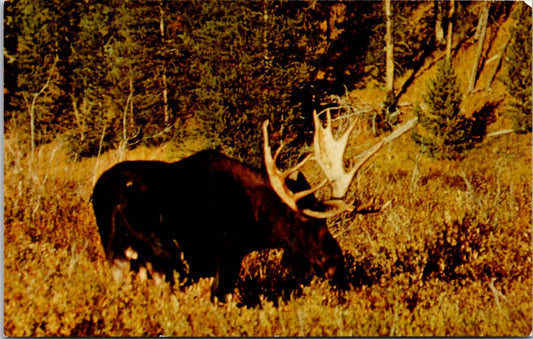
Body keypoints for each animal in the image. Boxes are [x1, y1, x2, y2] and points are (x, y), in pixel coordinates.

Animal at [92, 109, 416, 302]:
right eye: (307, 221)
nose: (336, 263)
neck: (255, 223)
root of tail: (112, 196)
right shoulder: (224, 256)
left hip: (118, 254)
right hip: (162, 253)